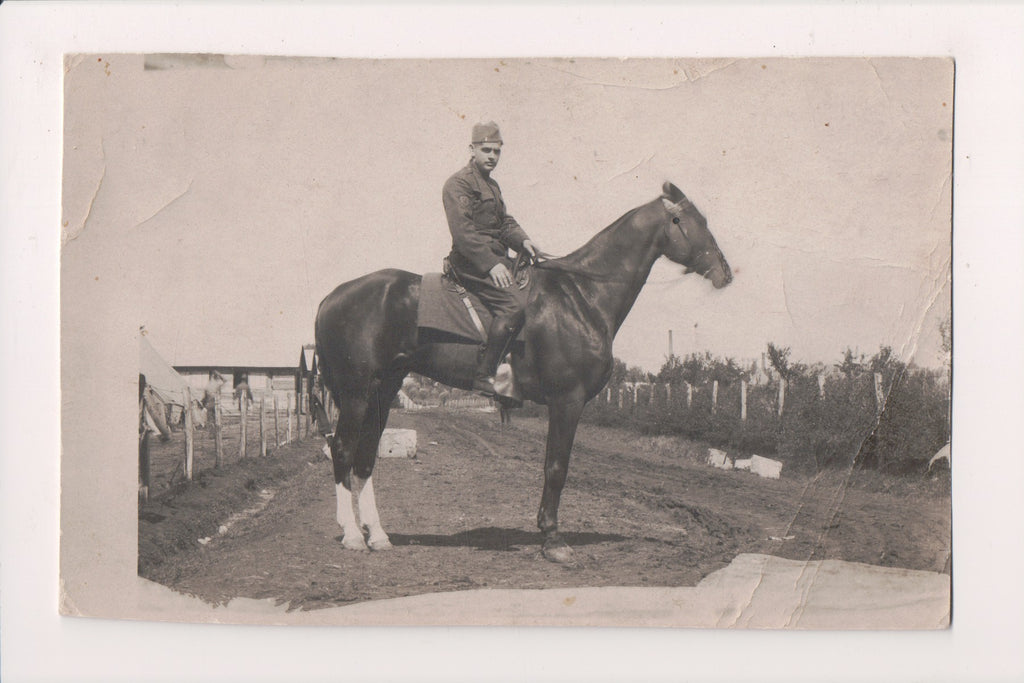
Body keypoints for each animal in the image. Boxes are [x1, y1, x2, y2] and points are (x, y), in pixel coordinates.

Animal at [311, 180, 729, 561]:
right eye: (691, 220)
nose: (725, 272)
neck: (580, 297)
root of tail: (331, 297)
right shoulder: (567, 401)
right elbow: (556, 467)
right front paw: (553, 539)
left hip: (382, 391)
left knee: (365, 457)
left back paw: (377, 535)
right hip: (355, 394)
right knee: (343, 450)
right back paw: (352, 535)